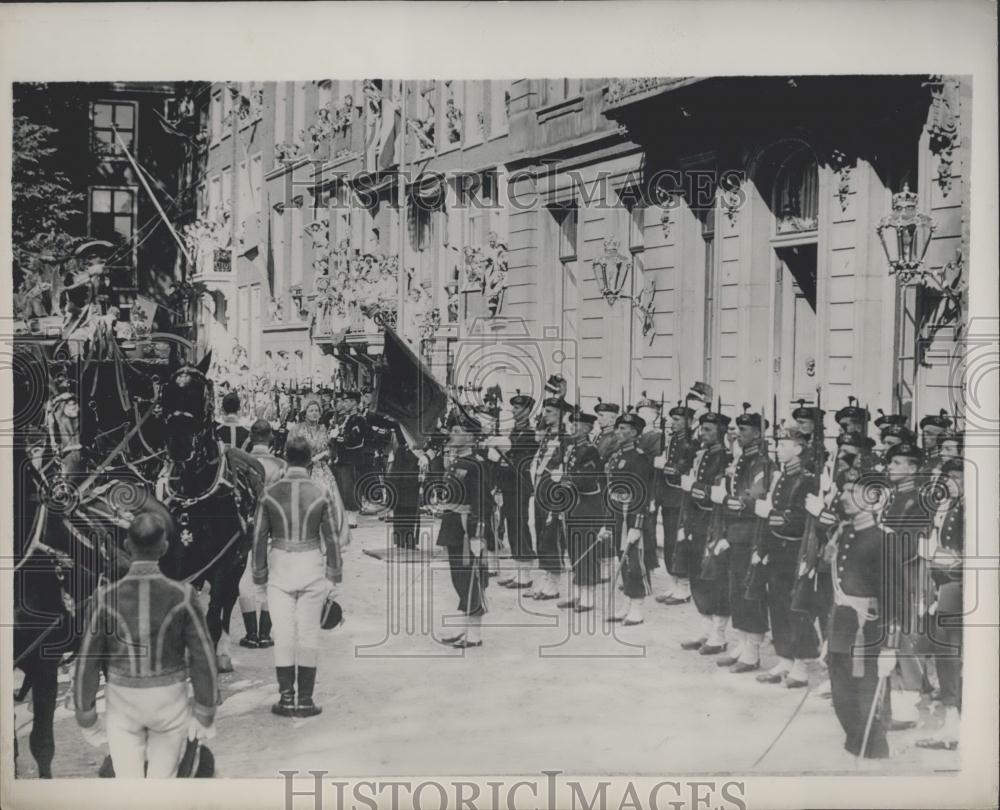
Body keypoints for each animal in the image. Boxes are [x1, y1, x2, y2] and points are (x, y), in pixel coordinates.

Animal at [156, 352, 266, 668]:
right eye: (167, 392)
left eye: (201, 394)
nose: (179, 445)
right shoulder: (175, 562)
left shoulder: (223, 562)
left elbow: (214, 615)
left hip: (239, 560)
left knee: (228, 600)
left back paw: (223, 654)